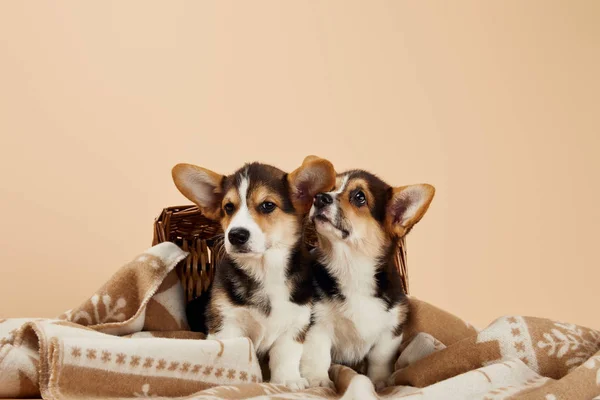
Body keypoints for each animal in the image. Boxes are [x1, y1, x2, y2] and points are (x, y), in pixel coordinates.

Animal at [171, 157, 336, 390]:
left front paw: (289, 380)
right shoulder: (226, 322)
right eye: (228, 207)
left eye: (267, 205)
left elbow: (286, 356)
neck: (265, 270)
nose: (236, 235)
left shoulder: (295, 325)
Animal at [302, 170, 434, 390]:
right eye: (330, 188)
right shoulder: (318, 324)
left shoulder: (390, 330)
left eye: (359, 197)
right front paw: (318, 380)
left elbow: (379, 359)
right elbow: (318, 355)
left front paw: (379, 383)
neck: (351, 267)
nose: (319, 198)